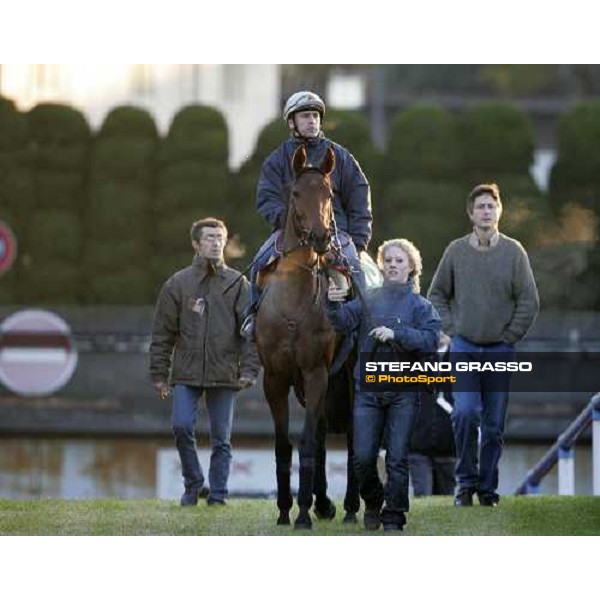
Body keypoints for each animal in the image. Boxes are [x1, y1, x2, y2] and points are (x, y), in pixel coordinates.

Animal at [255, 143, 358, 528]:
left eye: (328, 193)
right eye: (296, 193)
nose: (321, 237)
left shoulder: (315, 373)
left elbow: (306, 443)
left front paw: (301, 514)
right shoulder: (276, 377)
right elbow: (285, 444)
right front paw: (286, 509)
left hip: (348, 375)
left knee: (355, 436)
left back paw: (350, 507)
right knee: (323, 434)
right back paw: (324, 503)